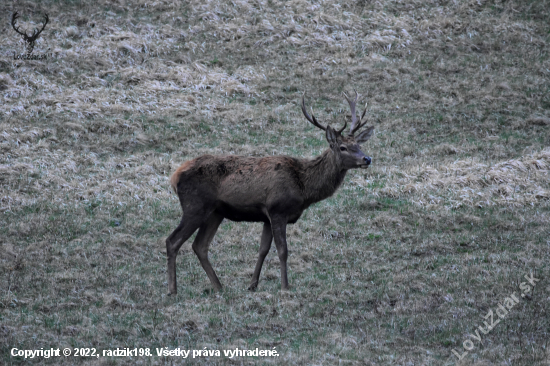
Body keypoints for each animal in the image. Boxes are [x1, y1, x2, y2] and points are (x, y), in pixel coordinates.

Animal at [167, 91, 376, 294]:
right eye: (343, 147)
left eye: (358, 145)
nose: (367, 159)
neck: (304, 188)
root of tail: (174, 177)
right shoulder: (278, 209)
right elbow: (282, 250)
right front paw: (285, 287)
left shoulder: (267, 217)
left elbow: (263, 249)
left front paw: (252, 285)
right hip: (195, 206)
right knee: (172, 241)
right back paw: (173, 290)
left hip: (215, 212)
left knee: (200, 245)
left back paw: (219, 287)